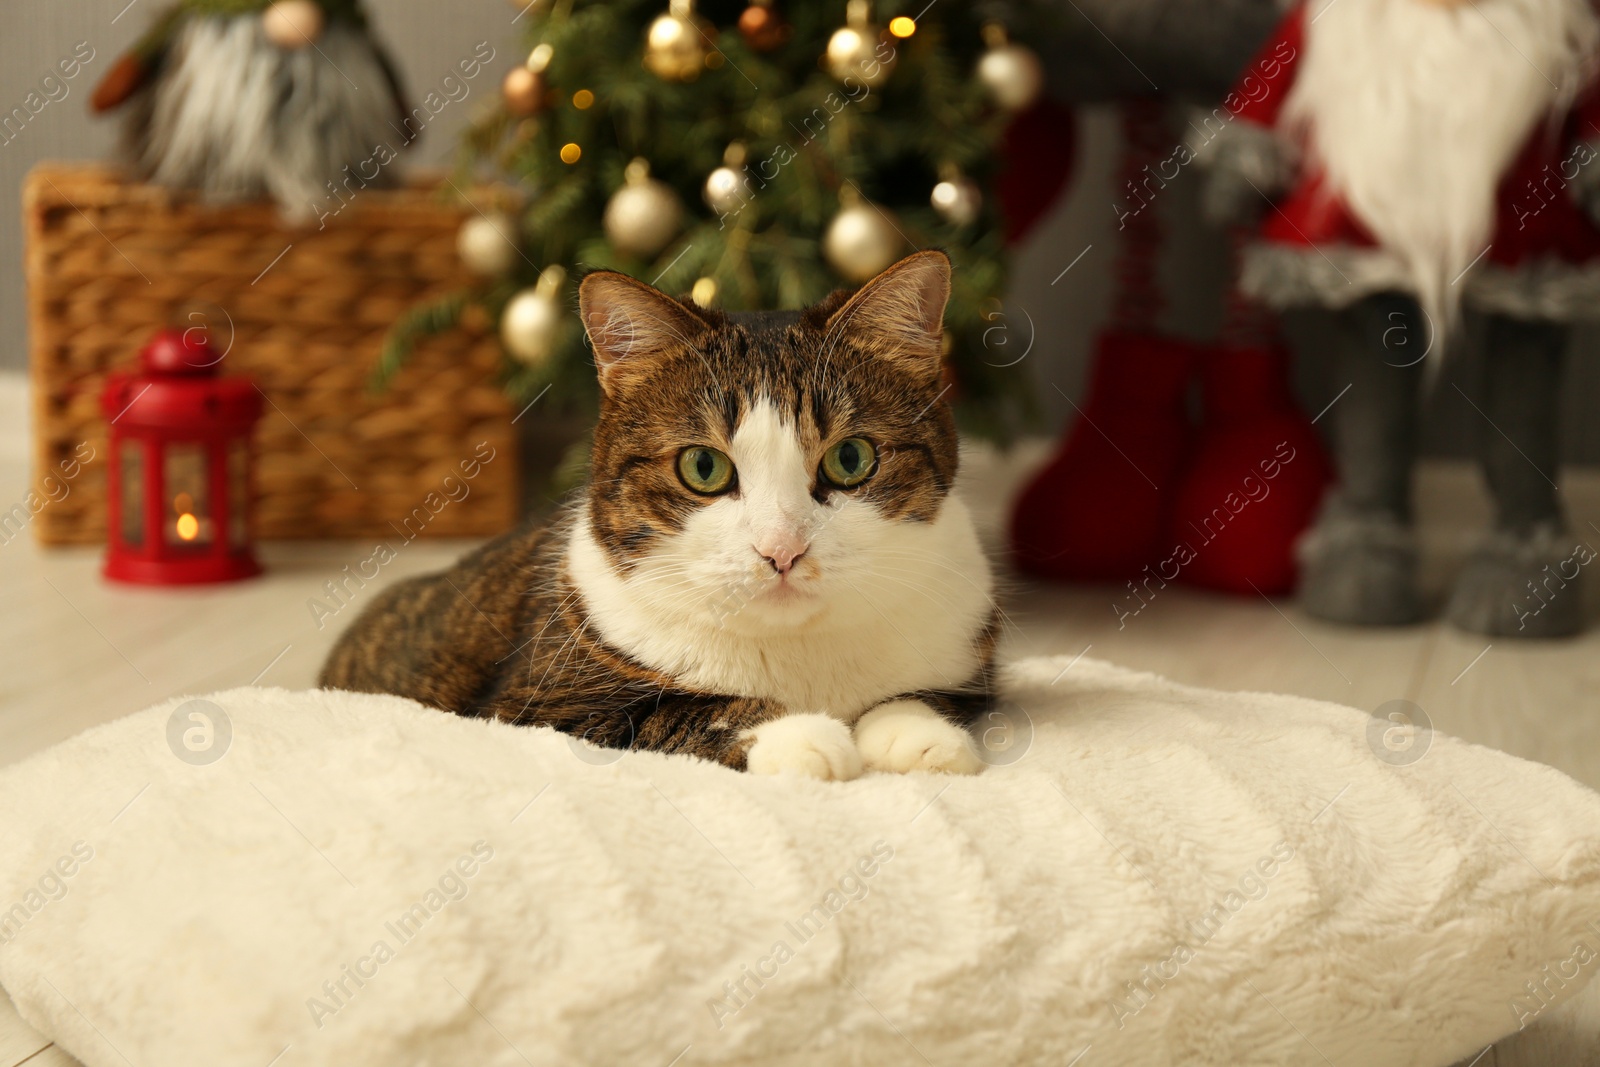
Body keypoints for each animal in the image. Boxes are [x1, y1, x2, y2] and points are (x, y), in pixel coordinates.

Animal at [320, 254, 998, 780]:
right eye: (703, 466)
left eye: (851, 458)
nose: (782, 550)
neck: (795, 646)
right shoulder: (534, 708)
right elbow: (681, 710)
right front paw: (802, 735)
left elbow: (930, 692)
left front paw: (918, 735)